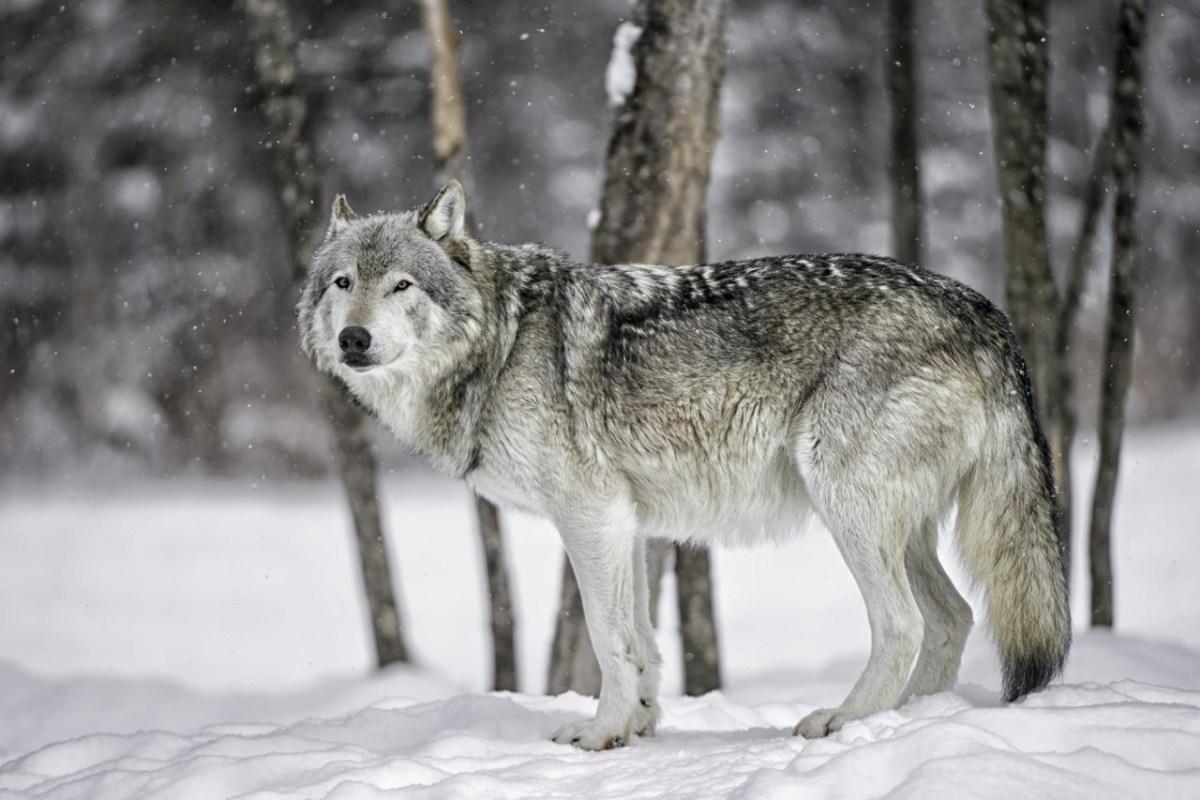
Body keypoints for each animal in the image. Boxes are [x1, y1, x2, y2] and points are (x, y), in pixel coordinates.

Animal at [298, 181, 1070, 750]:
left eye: (401, 286)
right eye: (342, 282)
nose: (353, 339)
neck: (503, 341)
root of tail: (985, 311)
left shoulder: (589, 517)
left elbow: (608, 639)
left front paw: (601, 734)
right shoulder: (626, 525)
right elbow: (641, 640)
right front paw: (637, 728)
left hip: (848, 508)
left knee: (904, 624)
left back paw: (845, 723)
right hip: (898, 529)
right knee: (954, 617)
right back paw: (909, 721)